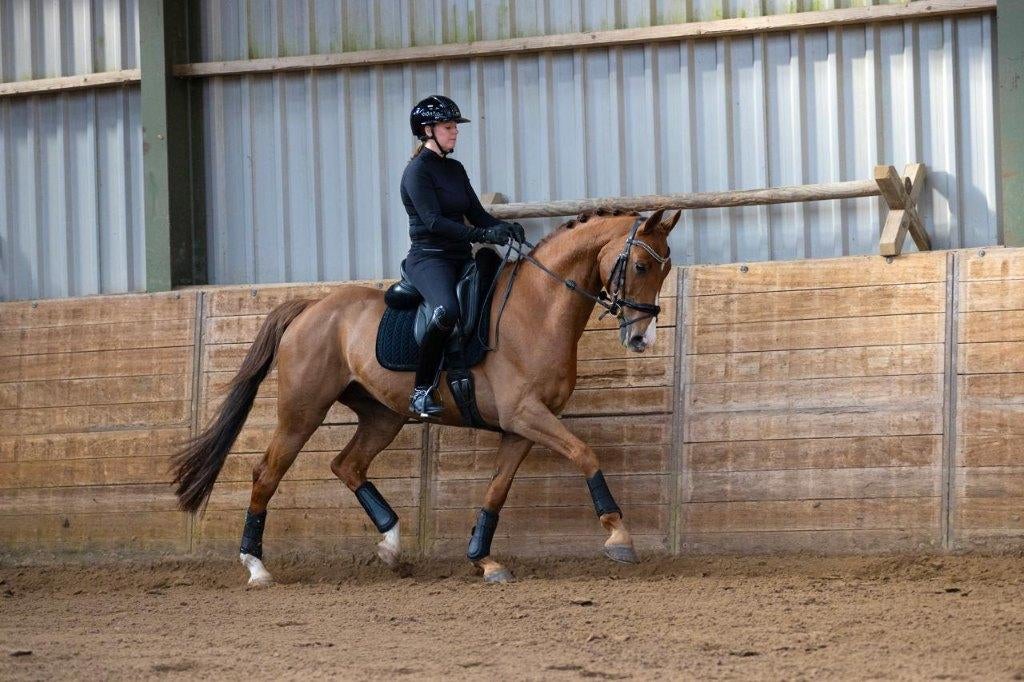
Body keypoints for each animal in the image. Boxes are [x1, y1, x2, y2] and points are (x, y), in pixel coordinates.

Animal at [172, 208, 680, 585]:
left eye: (667, 268)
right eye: (640, 266)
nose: (642, 338)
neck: (538, 308)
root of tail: (312, 307)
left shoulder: (521, 426)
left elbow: (497, 490)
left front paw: (483, 559)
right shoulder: (527, 415)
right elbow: (585, 453)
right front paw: (619, 537)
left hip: (382, 415)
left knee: (348, 465)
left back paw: (391, 546)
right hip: (303, 411)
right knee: (267, 474)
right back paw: (256, 566)